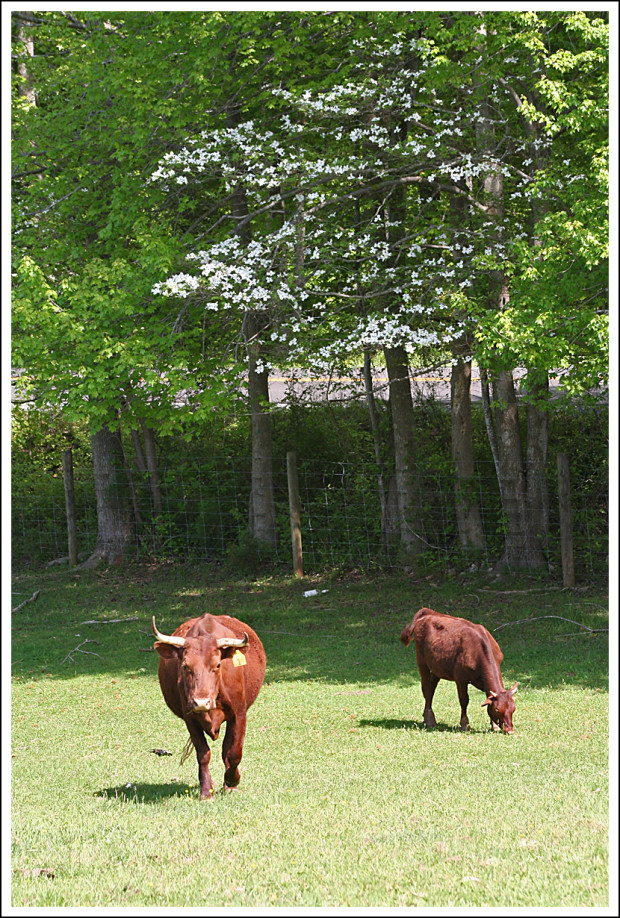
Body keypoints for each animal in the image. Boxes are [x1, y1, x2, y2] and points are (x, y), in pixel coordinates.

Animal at [153, 616, 266, 800]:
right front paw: (207, 791)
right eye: (185, 666)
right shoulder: (190, 718)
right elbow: (203, 754)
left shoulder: (239, 714)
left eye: (218, 664)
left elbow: (234, 753)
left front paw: (232, 781)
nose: (201, 702)